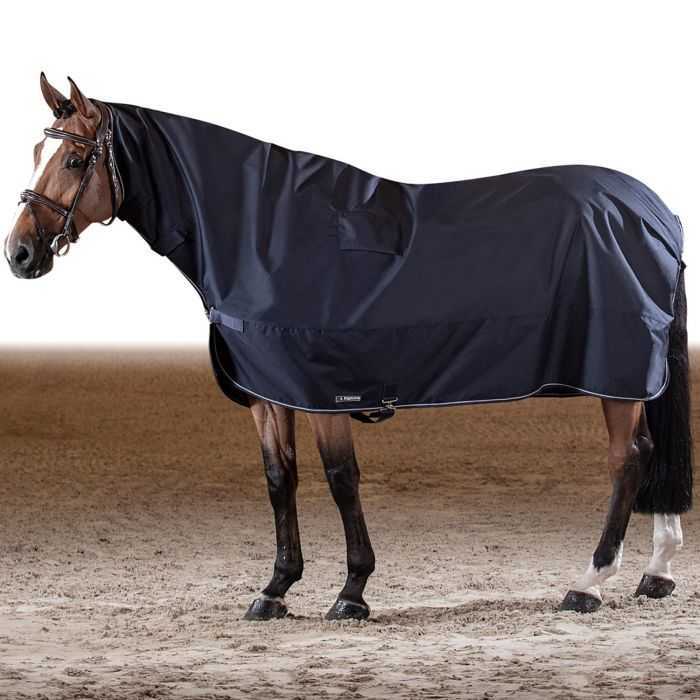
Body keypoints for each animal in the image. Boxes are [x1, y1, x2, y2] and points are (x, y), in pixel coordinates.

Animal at [4, 74, 692, 620]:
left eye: (73, 161)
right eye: (37, 149)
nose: (20, 254)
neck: (261, 231)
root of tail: (656, 213)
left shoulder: (325, 390)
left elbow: (341, 479)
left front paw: (352, 592)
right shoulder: (269, 392)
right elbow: (279, 478)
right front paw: (275, 589)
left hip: (618, 377)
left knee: (628, 459)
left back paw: (589, 583)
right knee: (652, 453)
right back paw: (655, 573)